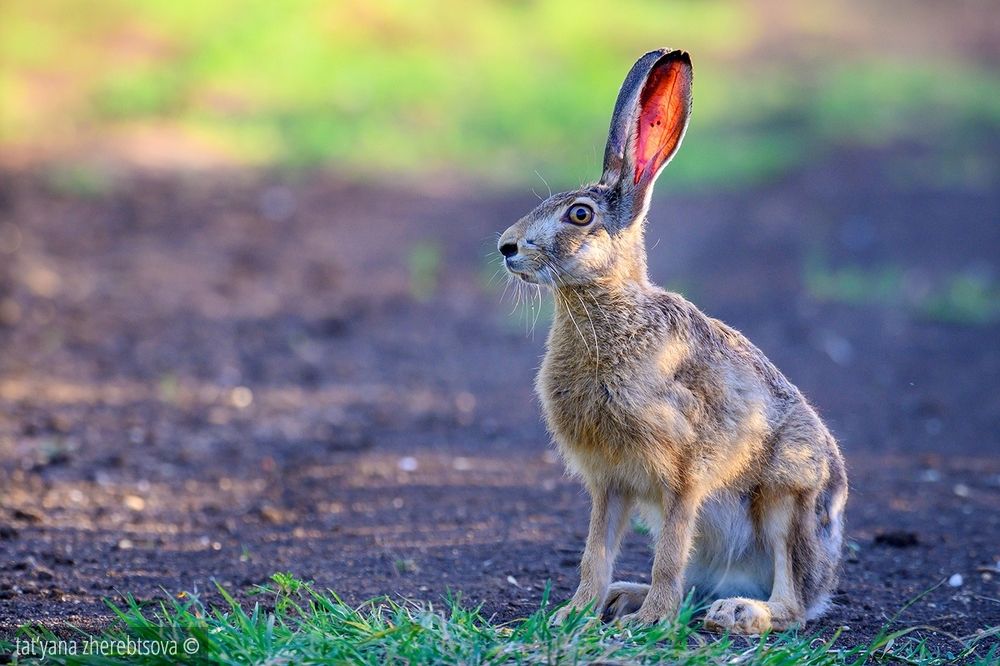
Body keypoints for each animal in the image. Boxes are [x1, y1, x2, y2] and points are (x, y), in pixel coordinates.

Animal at [496, 49, 847, 635]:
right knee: (697, 586)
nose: (507, 247)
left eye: (579, 215)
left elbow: (667, 553)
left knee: (792, 604)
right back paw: (626, 596)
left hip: (788, 500)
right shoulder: (611, 482)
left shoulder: (682, 474)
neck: (610, 305)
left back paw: (739, 612)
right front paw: (573, 614)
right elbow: (594, 553)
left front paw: (648, 623)